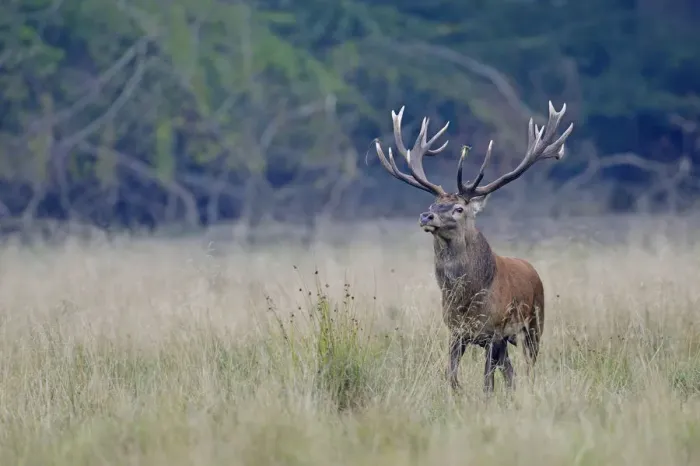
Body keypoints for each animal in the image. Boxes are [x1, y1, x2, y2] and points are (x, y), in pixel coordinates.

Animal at [373, 101, 573, 393]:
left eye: (458, 208)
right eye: (434, 204)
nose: (426, 216)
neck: (467, 298)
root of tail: (532, 269)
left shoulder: (494, 332)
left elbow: (487, 384)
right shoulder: (456, 332)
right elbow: (452, 377)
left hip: (535, 324)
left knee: (528, 368)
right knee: (511, 373)